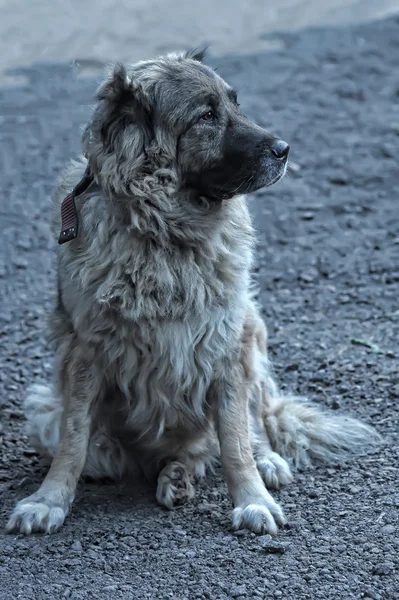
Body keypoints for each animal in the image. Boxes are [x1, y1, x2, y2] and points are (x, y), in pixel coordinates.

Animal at [5, 48, 378, 536]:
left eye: (235, 104)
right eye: (206, 116)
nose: (284, 149)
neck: (164, 231)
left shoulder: (226, 344)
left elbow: (235, 439)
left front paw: (253, 499)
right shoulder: (83, 352)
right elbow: (73, 439)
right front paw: (49, 500)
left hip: (253, 331)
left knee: (249, 425)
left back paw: (254, 463)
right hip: (43, 412)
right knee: (150, 453)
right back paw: (168, 475)